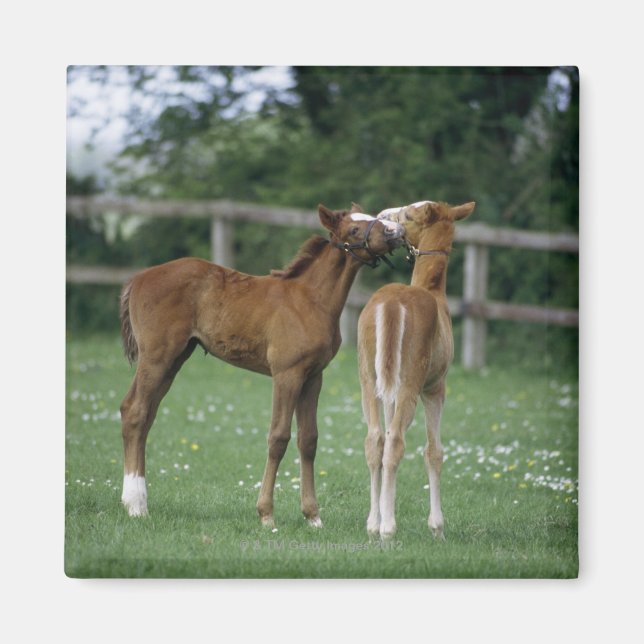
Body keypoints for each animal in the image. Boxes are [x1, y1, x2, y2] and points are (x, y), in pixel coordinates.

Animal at [118, 203, 405, 528]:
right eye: (355, 229)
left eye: (373, 218)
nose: (395, 231)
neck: (310, 300)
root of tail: (138, 278)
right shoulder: (287, 374)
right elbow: (278, 437)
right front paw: (266, 514)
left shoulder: (313, 377)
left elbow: (309, 440)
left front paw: (313, 516)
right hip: (157, 357)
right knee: (135, 411)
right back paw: (136, 505)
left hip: (174, 359)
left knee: (145, 416)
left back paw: (137, 499)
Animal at [358, 200, 475, 539]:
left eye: (409, 214)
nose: (383, 217)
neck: (432, 289)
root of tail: (391, 304)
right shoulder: (436, 388)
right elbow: (434, 451)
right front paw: (437, 527)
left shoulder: (390, 390)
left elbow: (383, 439)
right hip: (411, 382)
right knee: (396, 442)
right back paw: (388, 530)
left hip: (369, 378)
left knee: (376, 440)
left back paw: (373, 525)